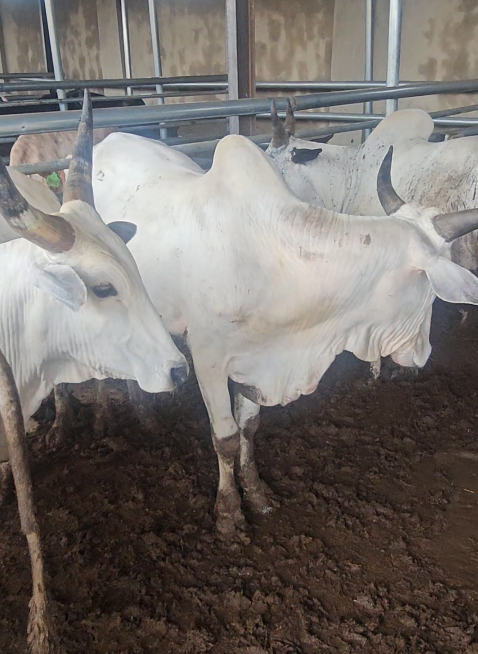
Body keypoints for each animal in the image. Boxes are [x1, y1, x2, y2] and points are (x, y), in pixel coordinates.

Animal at [91, 129, 478, 539]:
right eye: (430, 291)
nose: (422, 354)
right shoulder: (208, 359)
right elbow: (225, 438)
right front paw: (229, 513)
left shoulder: (257, 362)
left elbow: (249, 427)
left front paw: (257, 492)